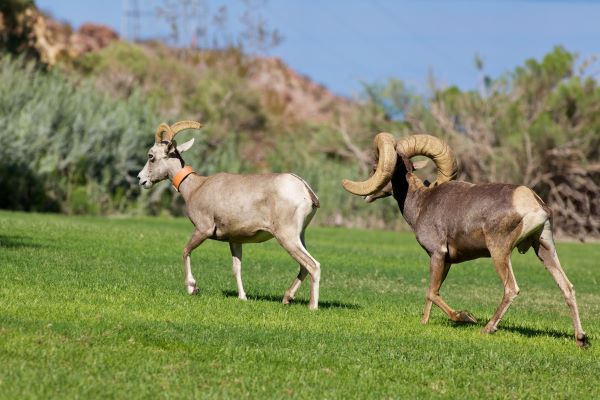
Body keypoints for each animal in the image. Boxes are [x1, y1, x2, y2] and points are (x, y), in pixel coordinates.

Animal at [138, 121, 322, 310]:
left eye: (151, 156)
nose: (141, 179)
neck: (196, 187)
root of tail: (306, 190)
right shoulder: (235, 240)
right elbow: (236, 268)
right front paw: (242, 297)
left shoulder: (202, 230)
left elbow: (185, 250)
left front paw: (192, 288)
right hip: (299, 236)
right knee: (304, 267)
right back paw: (287, 298)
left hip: (287, 237)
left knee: (313, 265)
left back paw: (312, 306)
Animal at [342, 133, 584, 346]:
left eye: (375, 168)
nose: (367, 196)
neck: (421, 203)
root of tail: (534, 204)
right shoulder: (447, 261)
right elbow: (433, 292)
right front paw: (424, 322)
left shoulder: (437, 254)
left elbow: (431, 292)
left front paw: (465, 317)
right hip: (544, 248)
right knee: (567, 288)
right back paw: (581, 339)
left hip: (499, 252)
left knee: (511, 289)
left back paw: (487, 328)